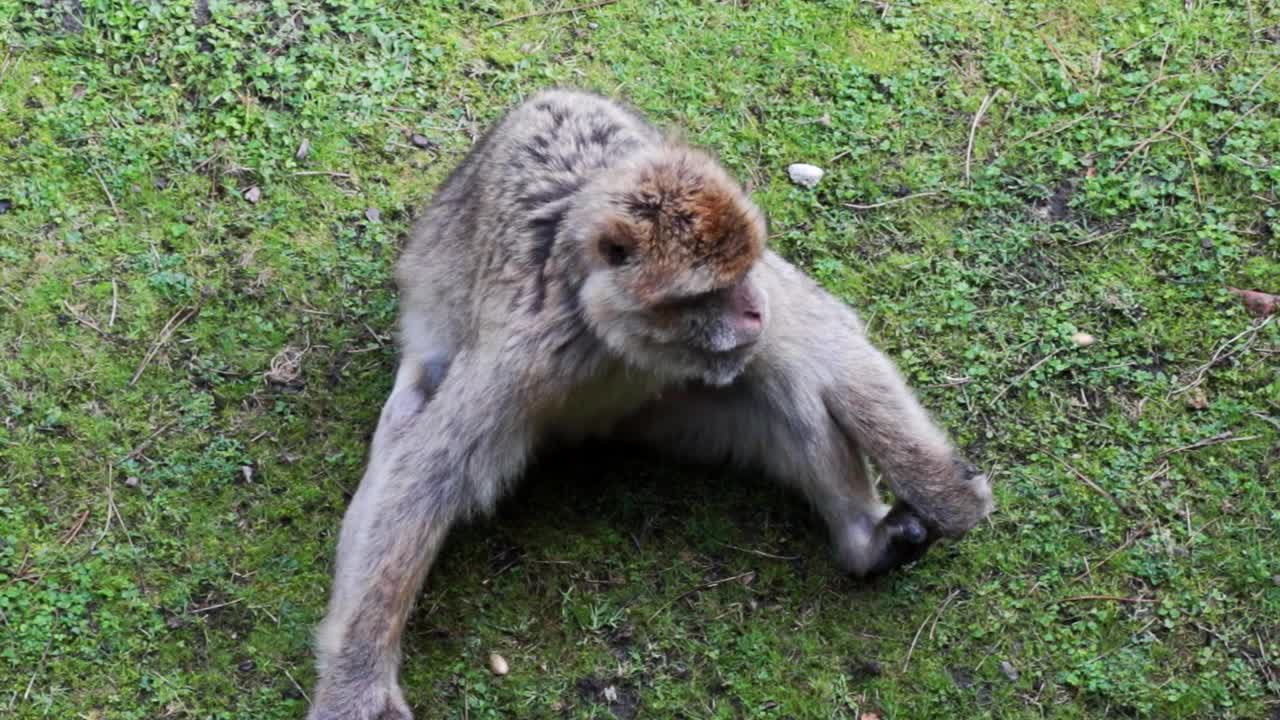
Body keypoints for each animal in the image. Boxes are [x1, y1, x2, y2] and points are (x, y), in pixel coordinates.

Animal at [307, 89, 988, 717]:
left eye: (742, 271)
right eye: (708, 291)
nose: (753, 310)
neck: (611, 335)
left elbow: (826, 346)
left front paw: (947, 494)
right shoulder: (523, 352)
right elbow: (425, 477)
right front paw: (354, 686)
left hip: (673, 415)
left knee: (787, 382)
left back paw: (861, 541)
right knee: (408, 419)